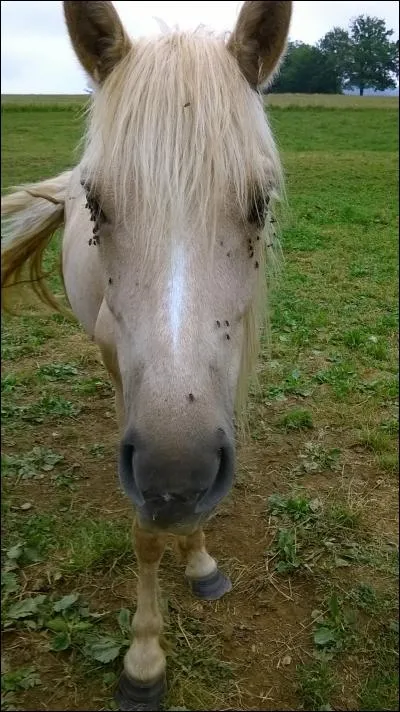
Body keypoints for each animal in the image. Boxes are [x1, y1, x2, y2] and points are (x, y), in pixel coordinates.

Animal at [1, 2, 292, 709]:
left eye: (259, 203)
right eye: (96, 204)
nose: (175, 474)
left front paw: (201, 559)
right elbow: (143, 533)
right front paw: (143, 656)